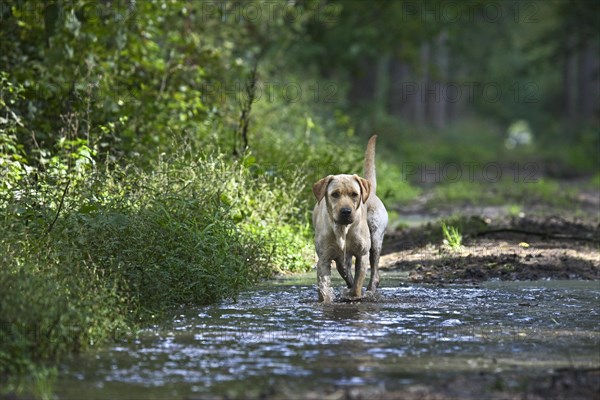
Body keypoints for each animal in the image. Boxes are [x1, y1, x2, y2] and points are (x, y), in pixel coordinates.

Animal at [314, 136, 390, 302]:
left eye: (354, 194)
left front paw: (354, 295)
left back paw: (370, 290)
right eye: (335, 194)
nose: (346, 211)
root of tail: (371, 190)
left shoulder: (362, 255)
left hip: (375, 238)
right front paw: (327, 298)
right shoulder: (324, 258)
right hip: (342, 259)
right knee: (346, 271)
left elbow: (357, 285)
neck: (343, 229)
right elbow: (324, 288)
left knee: (375, 273)